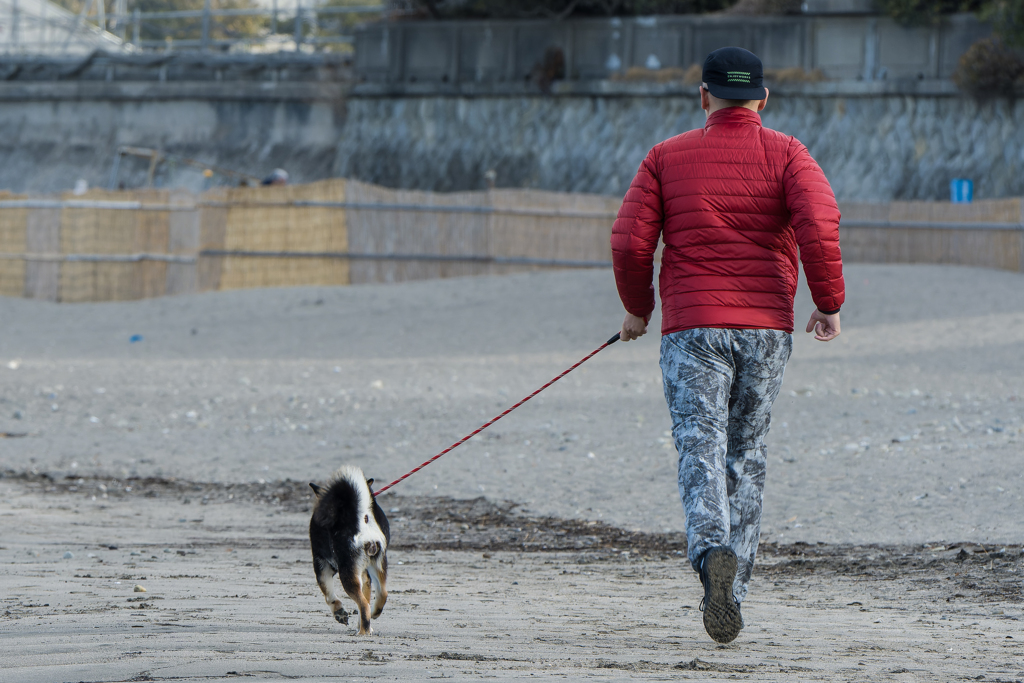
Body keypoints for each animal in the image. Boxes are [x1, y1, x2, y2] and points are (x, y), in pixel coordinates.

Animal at [305, 464, 389, 634]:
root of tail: (363, 519)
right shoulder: (364, 576)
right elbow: (366, 599)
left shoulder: (321, 565)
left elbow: (329, 595)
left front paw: (339, 612)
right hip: (378, 564)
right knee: (381, 594)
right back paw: (373, 616)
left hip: (347, 573)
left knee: (363, 604)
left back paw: (363, 632)